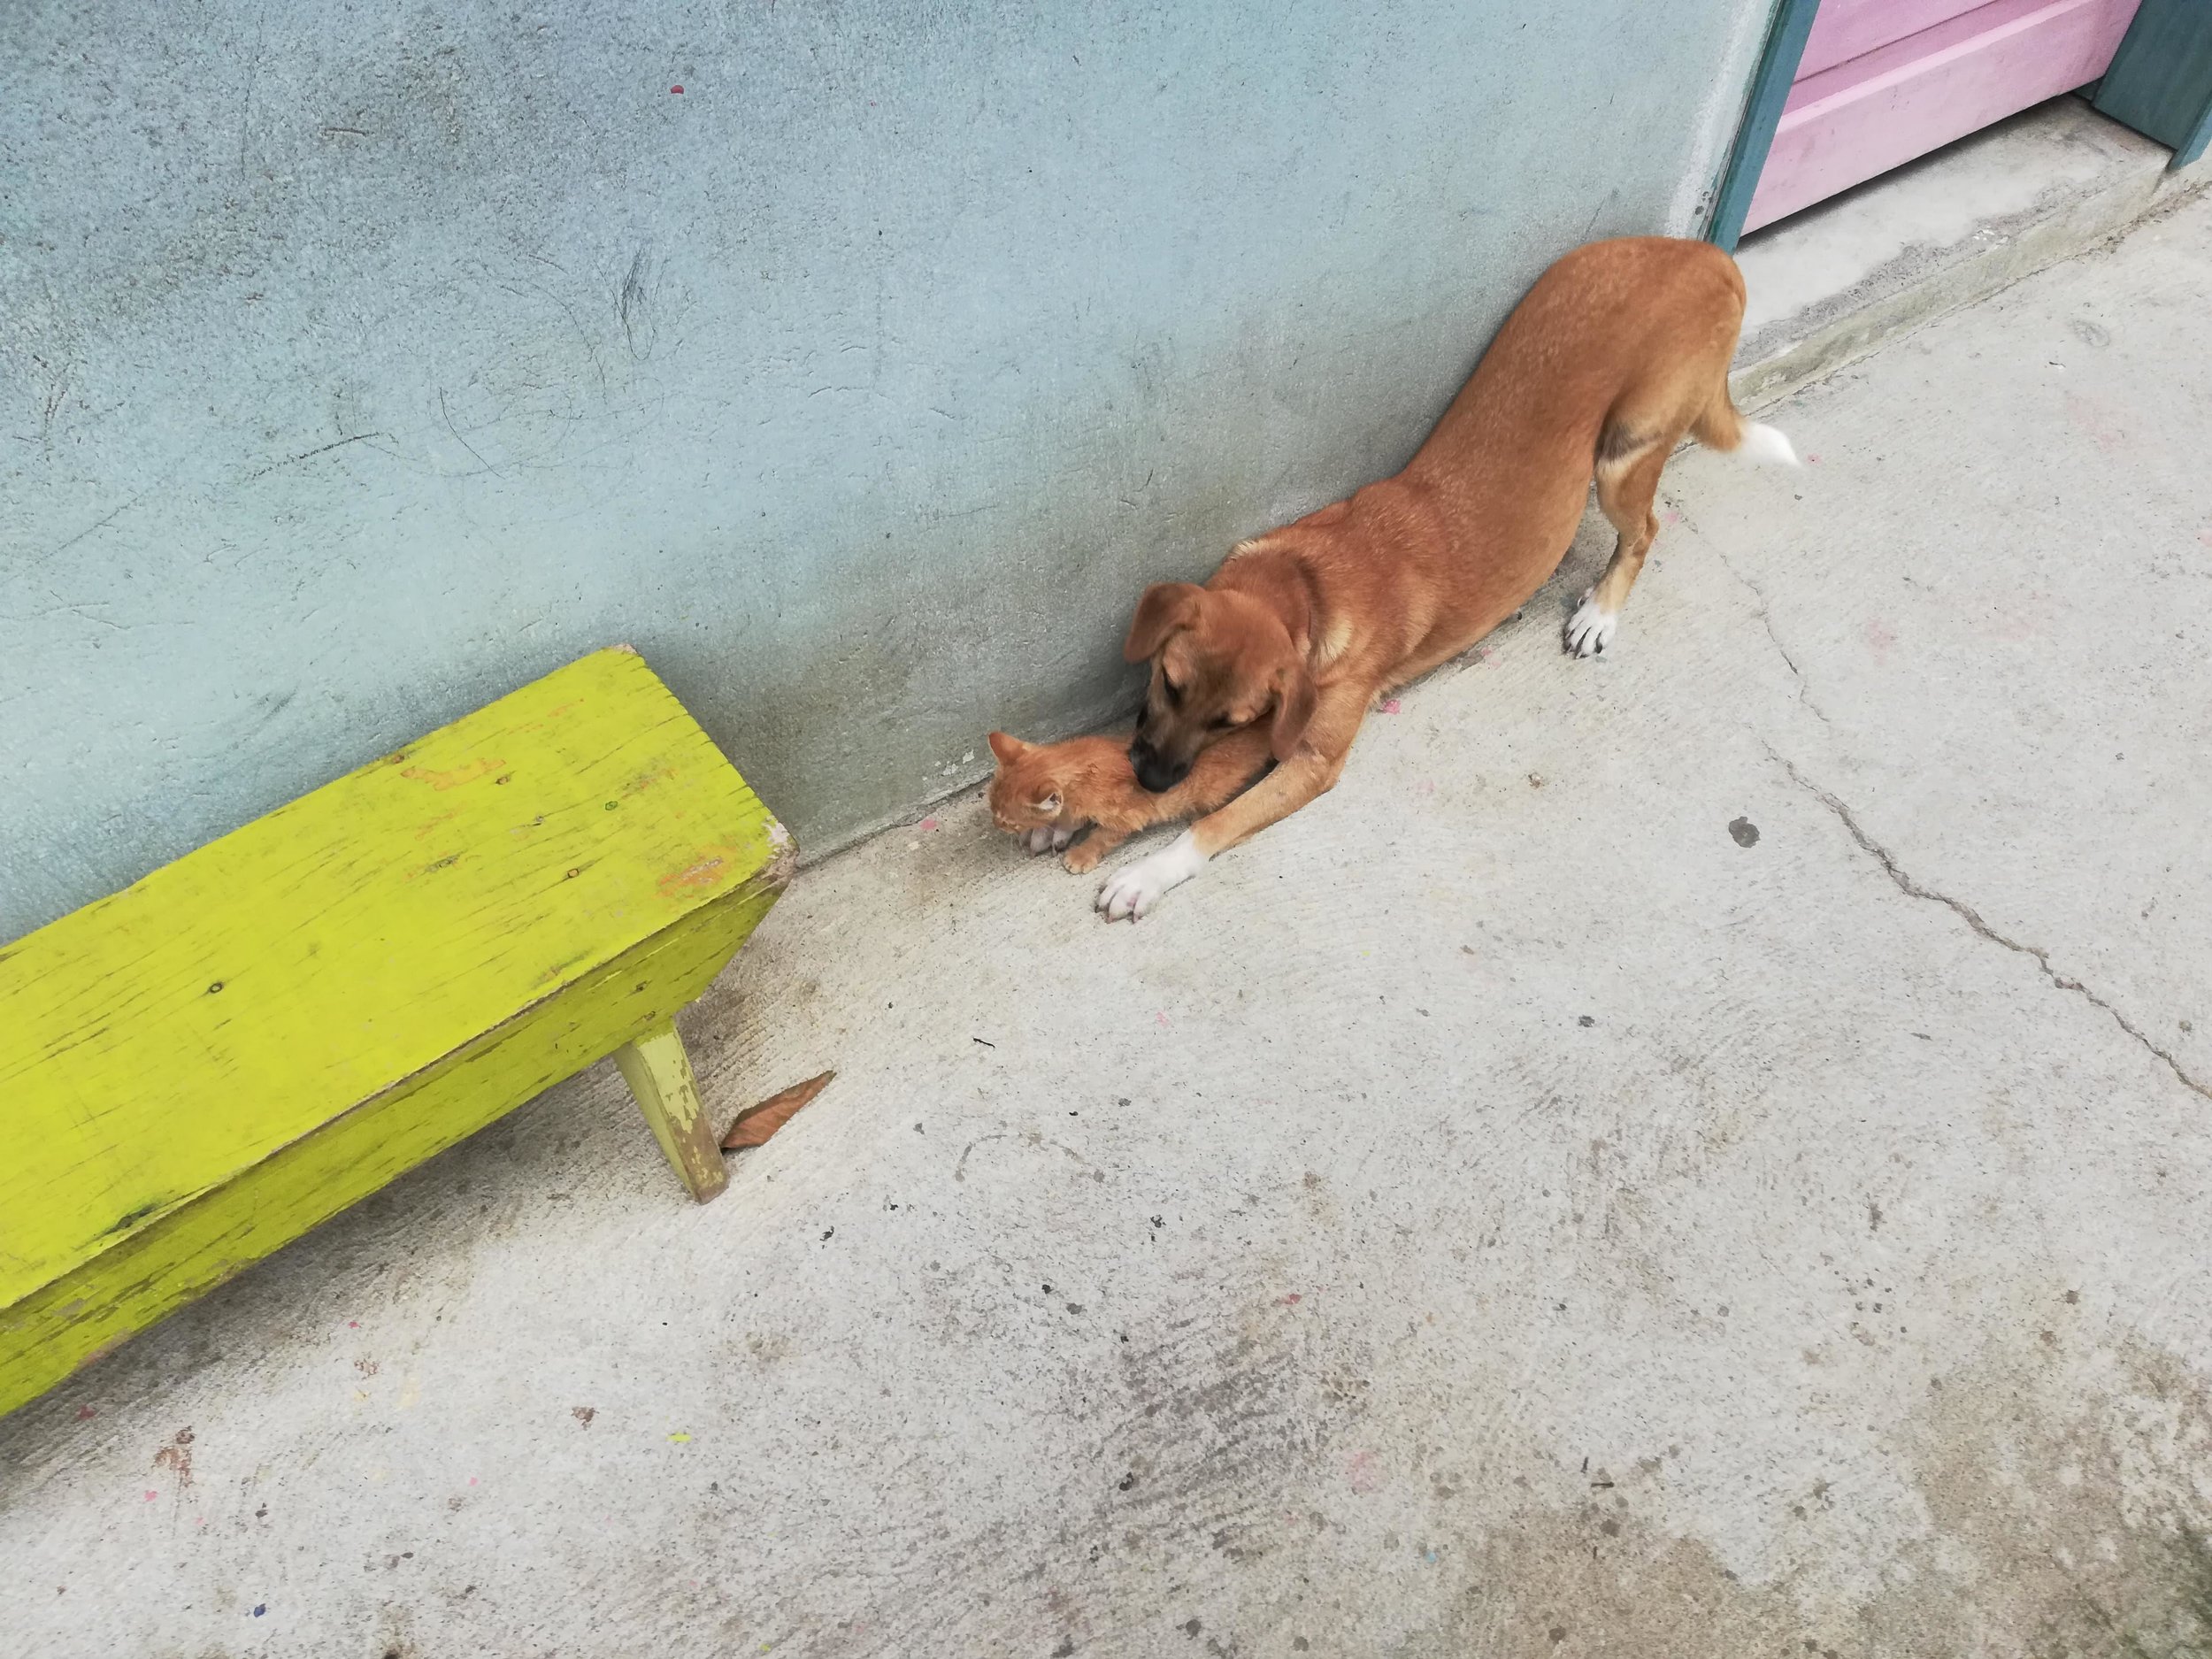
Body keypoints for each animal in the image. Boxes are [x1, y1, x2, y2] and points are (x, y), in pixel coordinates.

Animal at [991, 730, 1283, 876]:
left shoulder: (1129, 815)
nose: (995, 824)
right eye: (991, 807)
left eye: (1007, 821)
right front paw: (1054, 830)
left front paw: (1081, 854)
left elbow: (1103, 836)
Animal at [1097, 236, 1787, 925]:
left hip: (1626, 454)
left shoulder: (1315, 762)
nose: (1151, 782)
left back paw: (1601, 613)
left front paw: (1147, 873)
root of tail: (1704, 254)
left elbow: (1212, 823)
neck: (1308, 585)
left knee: (1644, 531)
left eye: (1230, 723)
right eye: (1169, 682)